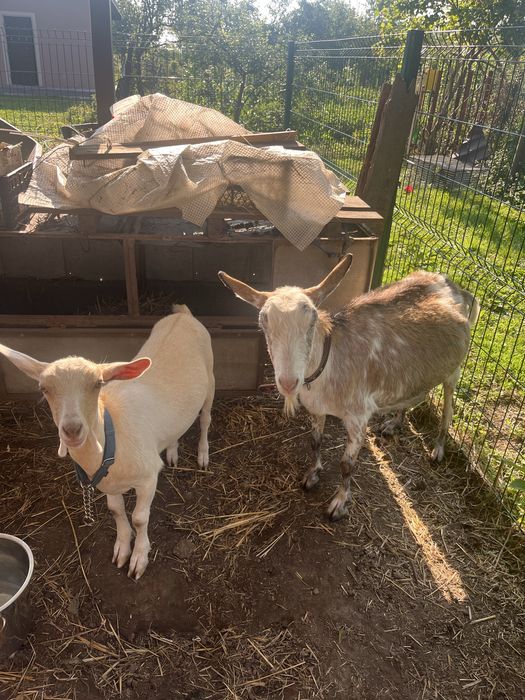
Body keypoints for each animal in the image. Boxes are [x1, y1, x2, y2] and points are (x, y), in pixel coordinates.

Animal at [0, 305, 215, 579]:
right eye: (43, 388)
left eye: (98, 384)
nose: (72, 429)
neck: (113, 438)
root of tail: (182, 314)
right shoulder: (107, 484)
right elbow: (116, 511)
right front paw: (122, 549)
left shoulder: (148, 477)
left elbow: (139, 518)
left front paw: (139, 558)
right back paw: (172, 451)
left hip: (210, 379)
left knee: (205, 419)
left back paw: (203, 455)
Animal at [219, 255, 479, 521]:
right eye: (263, 322)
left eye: (312, 319)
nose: (289, 382)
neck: (329, 362)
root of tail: (457, 287)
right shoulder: (316, 409)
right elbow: (315, 442)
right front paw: (312, 475)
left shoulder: (358, 416)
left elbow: (346, 464)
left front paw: (339, 503)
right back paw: (394, 423)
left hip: (454, 370)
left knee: (448, 409)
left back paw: (438, 448)